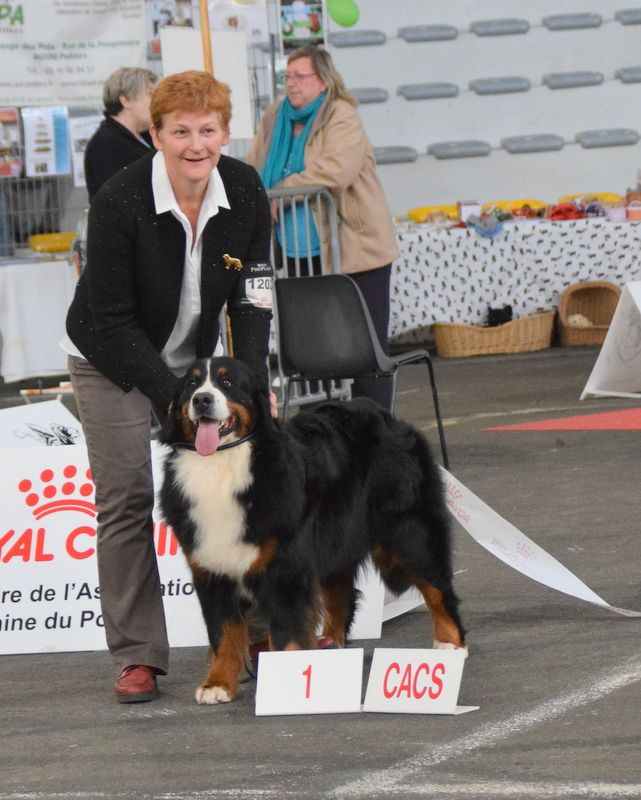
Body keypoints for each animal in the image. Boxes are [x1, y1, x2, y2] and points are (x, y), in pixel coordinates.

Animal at [158, 360, 462, 704]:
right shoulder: (211, 570)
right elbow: (223, 633)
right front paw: (218, 684)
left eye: (228, 382)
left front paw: (283, 683)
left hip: (409, 533)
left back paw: (451, 644)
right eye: (191, 385)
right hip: (337, 542)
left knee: (437, 587)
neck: (222, 466)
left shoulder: (284, 569)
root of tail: (389, 417)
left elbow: (286, 630)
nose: (202, 400)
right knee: (341, 599)